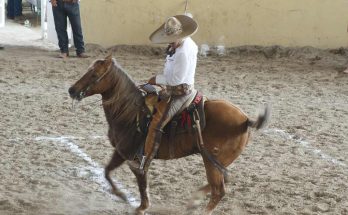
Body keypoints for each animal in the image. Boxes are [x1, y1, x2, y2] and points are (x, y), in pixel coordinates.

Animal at [67, 54, 270, 214]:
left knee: (219, 191)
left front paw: (141, 206)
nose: (72, 90)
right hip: (215, 161)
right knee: (222, 181)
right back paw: (194, 200)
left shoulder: (134, 156)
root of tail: (245, 120)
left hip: (212, 160)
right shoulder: (120, 152)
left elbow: (141, 181)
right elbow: (107, 171)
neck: (130, 114)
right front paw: (122, 195)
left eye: (94, 74)